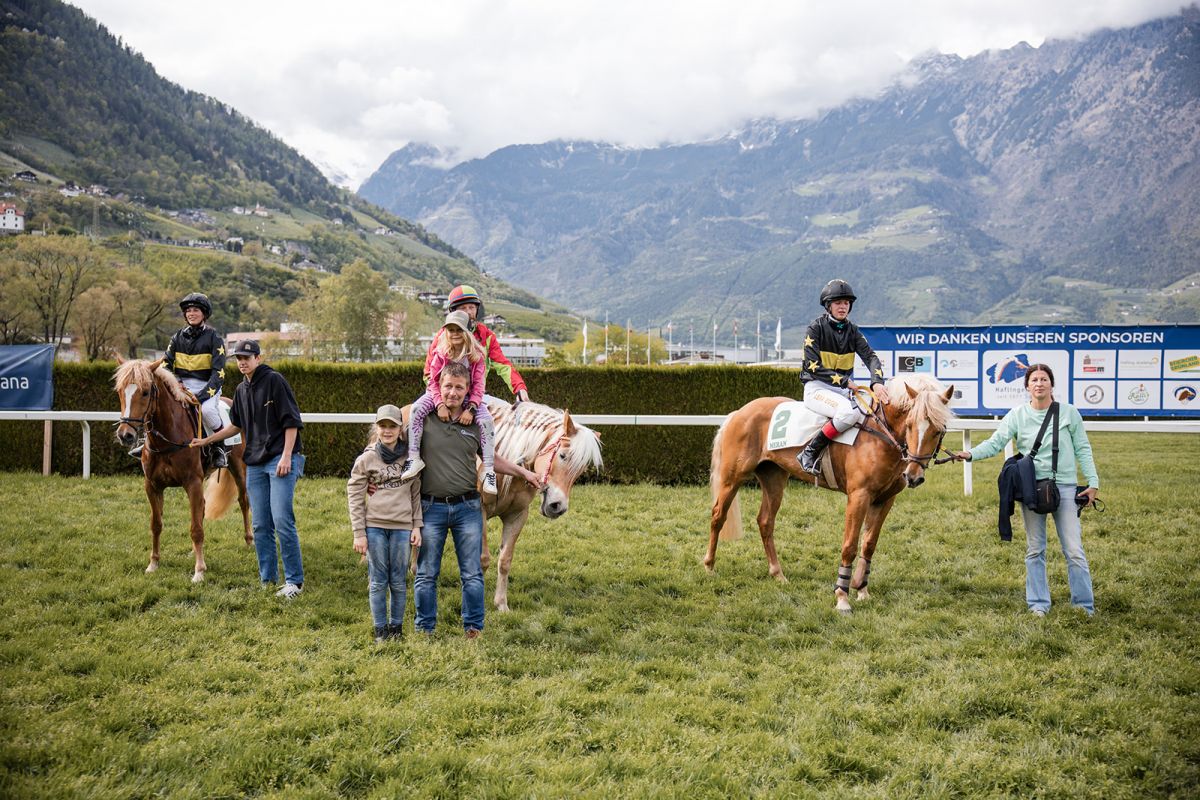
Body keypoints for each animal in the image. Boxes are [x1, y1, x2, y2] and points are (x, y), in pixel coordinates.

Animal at [113, 358, 251, 582]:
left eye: (145, 392)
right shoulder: (152, 486)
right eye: (120, 391)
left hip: (238, 467)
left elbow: (196, 529)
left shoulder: (192, 483)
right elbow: (156, 524)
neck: (167, 440)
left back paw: (249, 540)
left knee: (243, 501)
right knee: (202, 508)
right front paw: (153, 564)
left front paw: (199, 571)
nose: (125, 435)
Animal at [479, 397, 604, 612]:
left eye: (580, 469)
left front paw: (501, 604)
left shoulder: (517, 516)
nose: (558, 507)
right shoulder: (479, 511)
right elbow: (482, 560)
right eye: (562, 455)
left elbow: (504, 561)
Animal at [706, 374, 955, 612]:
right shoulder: (859, 496)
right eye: (910, 424)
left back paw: (778, 574)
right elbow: (850, 545)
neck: (881, 434)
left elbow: (869, 544)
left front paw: (862, 589)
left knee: (765, 521)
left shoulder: (884, 500)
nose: (913, 476)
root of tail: (739, 412)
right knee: (718, 516)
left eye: (939, 430)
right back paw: (709, 566)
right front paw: (842, 597)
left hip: (774, 479)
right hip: (732, 479)